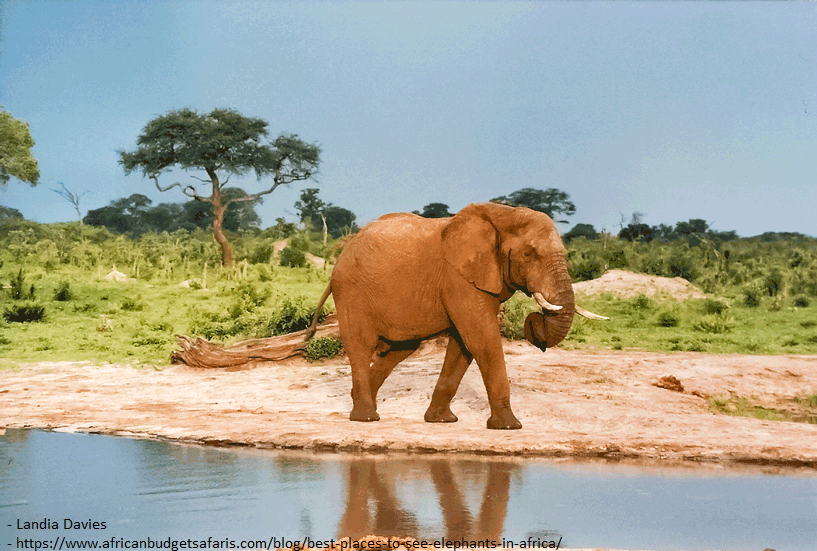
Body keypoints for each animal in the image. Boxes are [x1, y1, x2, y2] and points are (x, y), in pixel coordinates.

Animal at [306, 203, 604, 432]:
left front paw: (441, 421)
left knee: (402, 349)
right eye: (528, 254)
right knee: (362, 344)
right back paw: (366, 417)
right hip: (352, 291)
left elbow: (463, 345)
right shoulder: (459, 278)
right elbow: (482, 339)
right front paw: (509, 427)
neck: (504, 214)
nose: (536, 319)